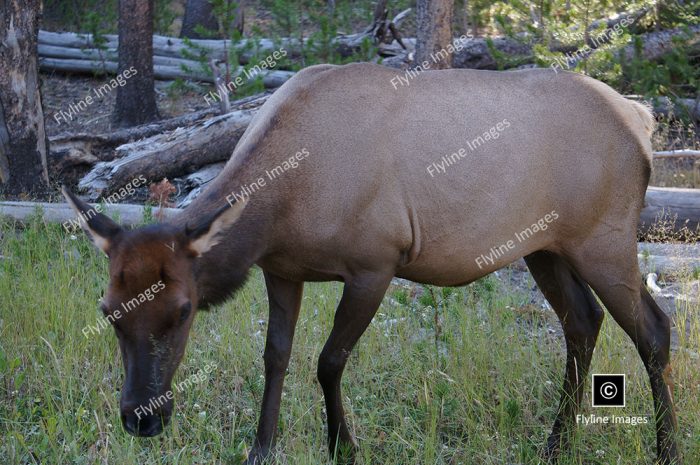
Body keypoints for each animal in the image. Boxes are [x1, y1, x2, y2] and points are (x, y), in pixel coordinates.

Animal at [64, 62, 680, 464]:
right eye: (107, 310)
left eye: (184, 310)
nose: (141, 418)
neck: (282, 207)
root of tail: (642, 117)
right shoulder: (281, 269)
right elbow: (275, 357)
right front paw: (262, 447)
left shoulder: (375, 263)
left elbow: (328, 362)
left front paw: (343, 446)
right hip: (544, 247)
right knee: (583, 321)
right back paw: (556, 444)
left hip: (605, 239)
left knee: (654, 329)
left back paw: (665, 448)